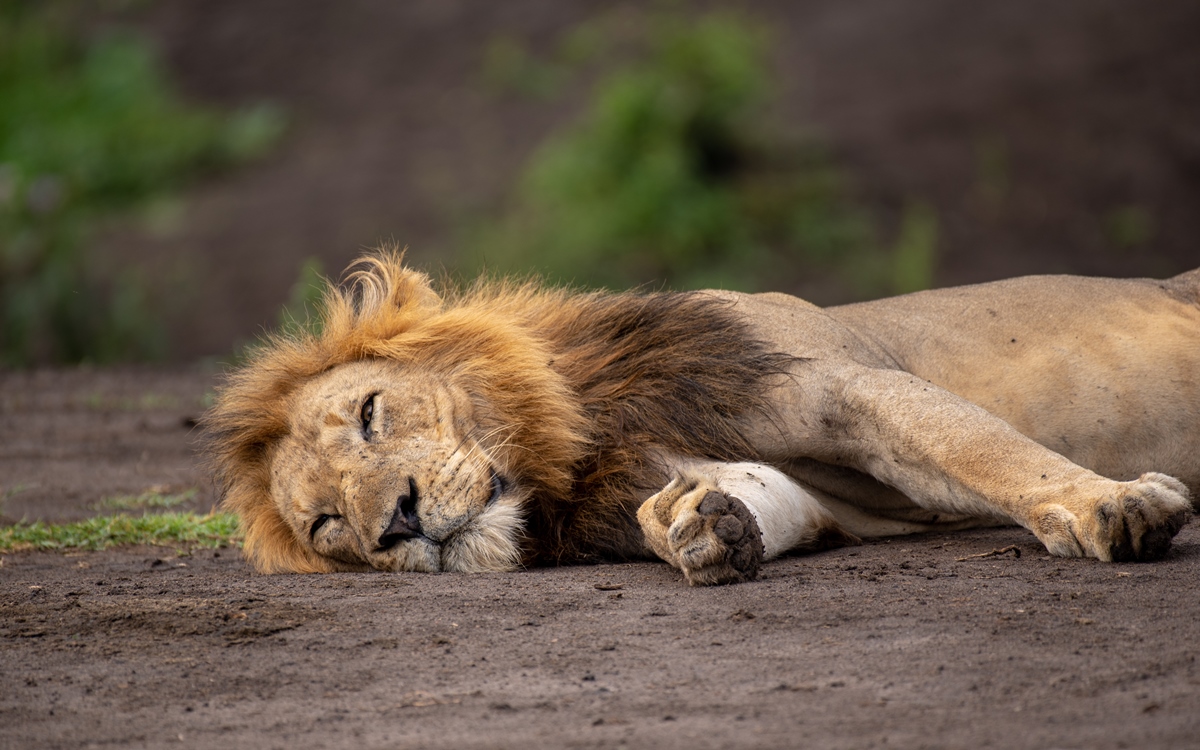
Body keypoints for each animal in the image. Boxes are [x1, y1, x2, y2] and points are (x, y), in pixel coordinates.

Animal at [201, 253, 1195, 585]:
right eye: (328, 525)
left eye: (370, 414)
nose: (397, 523)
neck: (583, 440)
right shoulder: (813, 497)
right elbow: (755, 498)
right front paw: (695, 526)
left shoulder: (835, 383)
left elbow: (976, 446)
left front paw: (1111, 505)